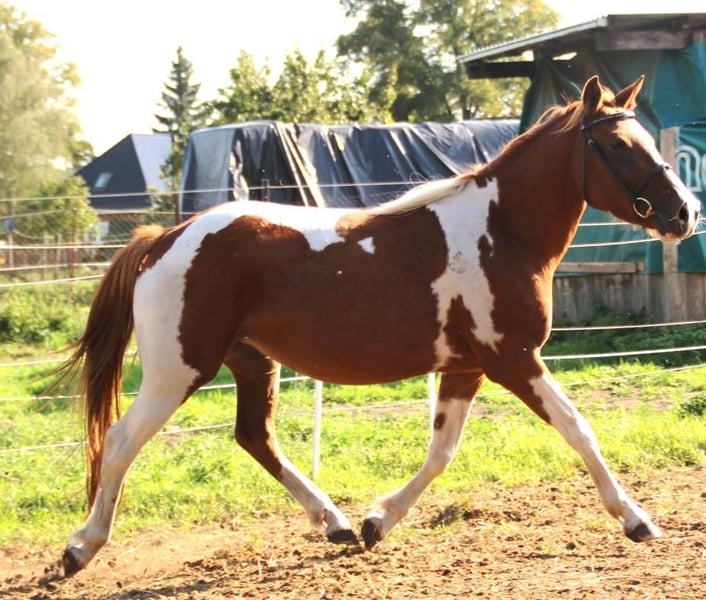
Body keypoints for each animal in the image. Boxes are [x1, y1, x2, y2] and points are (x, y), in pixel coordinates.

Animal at [58, 75, 700, 576]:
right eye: (618, 144)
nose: (685, 212)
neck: (501, 233)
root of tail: (164, 237)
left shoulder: (467, 367)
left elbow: (442, 451)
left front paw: (376, 522)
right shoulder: (513, 359)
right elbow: (579, 429)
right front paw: (637, 520)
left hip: (251, 362)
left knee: (254, 438)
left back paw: (336, 524)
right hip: (178, 370)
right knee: (120, 441)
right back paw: (80, 549)